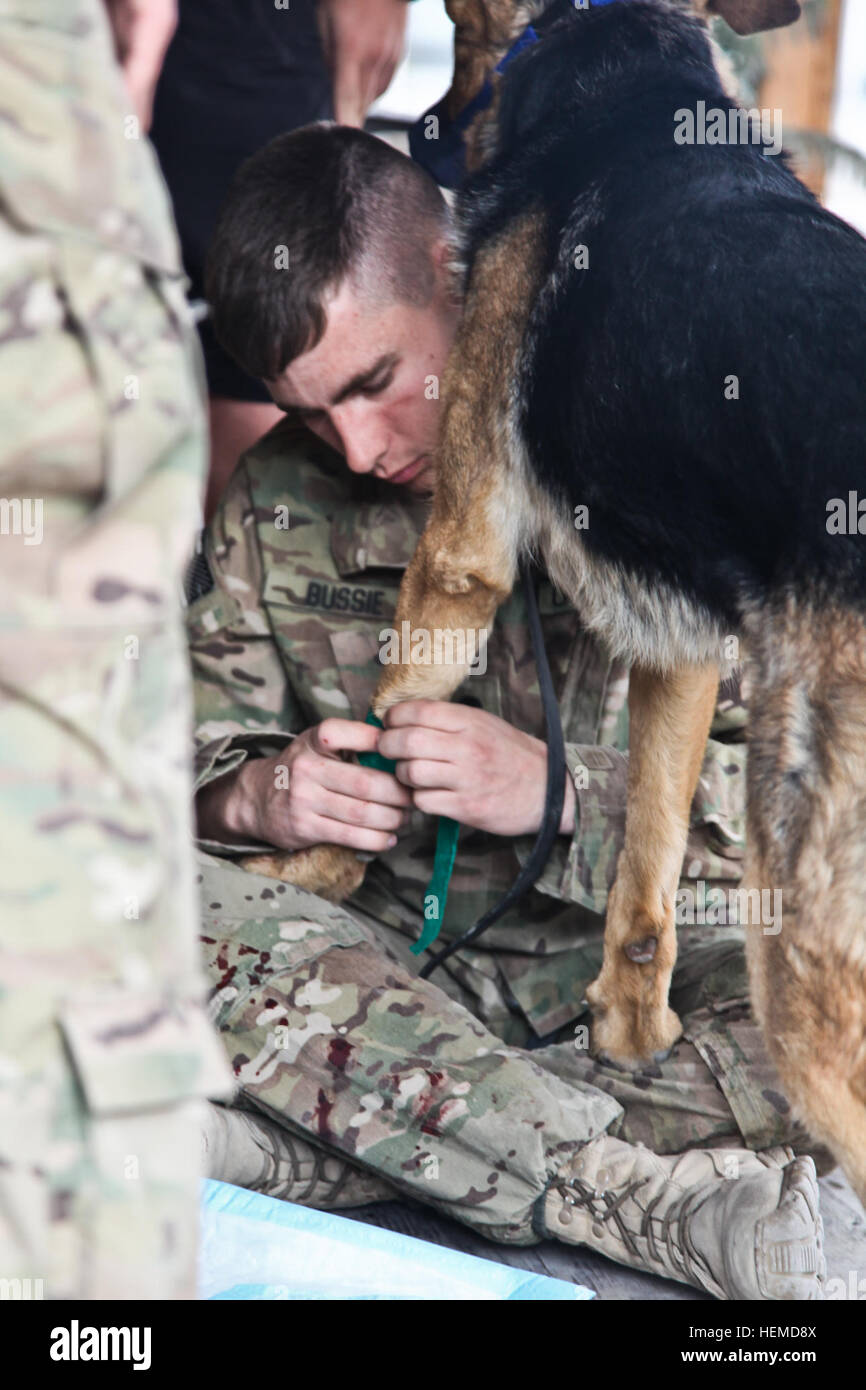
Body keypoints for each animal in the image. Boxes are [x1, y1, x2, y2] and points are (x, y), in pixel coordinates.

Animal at [244, 0, 866, 1206]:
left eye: (450, 21)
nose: (419, 124)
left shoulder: (462, 552)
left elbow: (379, 736)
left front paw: (313, 865)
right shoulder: (679, 640)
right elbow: (646, 876)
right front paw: (627, 1035)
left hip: (804, 945)